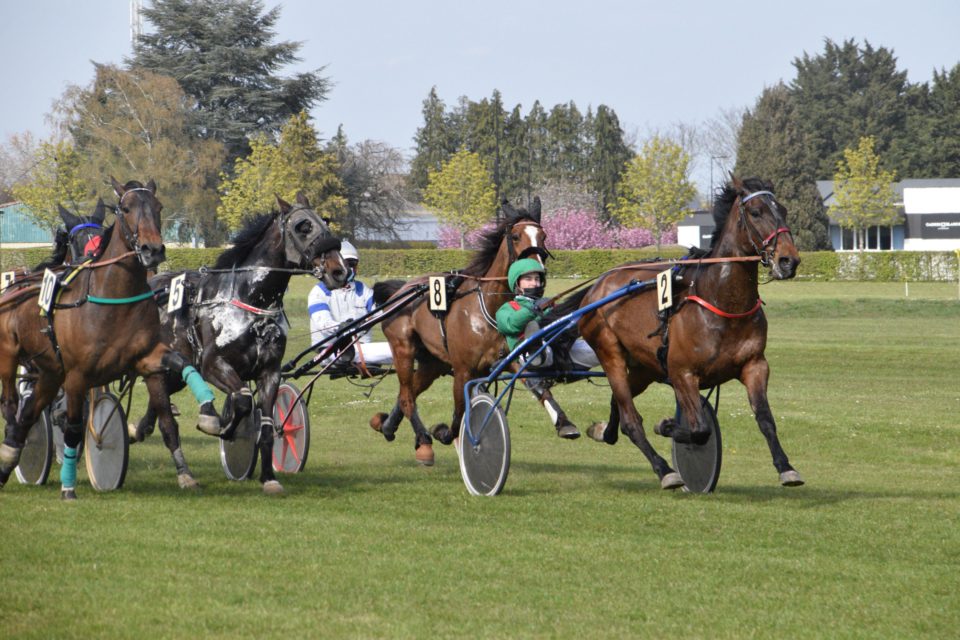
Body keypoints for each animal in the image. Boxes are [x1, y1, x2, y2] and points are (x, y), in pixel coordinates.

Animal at [0, 178, 223, 498]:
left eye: (158, 207)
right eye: (126, 208)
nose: (153, 249)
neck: (114, 300)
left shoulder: (147, 358)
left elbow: (179, 384)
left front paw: (204, 424)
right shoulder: (78, 375)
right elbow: (73, 428)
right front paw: (69, 486)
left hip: (50, 372)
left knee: (27, 416)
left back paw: (9, 461)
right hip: (12, 358)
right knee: (12, 407)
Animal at [133, 191, 346, 496]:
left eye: (325, 221)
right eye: (303, 227)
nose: (340, 271)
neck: (250, 300)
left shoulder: (269, 372)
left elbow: (267, 426)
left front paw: (268, 477)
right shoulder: (213, 365)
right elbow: (243, 400)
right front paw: (221, 426)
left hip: (176, 372)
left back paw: (141, 428)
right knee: (166, 421)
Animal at [368, 198, 576, 462]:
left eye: (544, 235)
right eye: (516, 236)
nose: (536, 277)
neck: (489, 308)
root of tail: (402, 290)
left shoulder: (508, 357)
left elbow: (537, 386)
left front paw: (564, 422)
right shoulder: (463, 369)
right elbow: (459, 413)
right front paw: (445, 433)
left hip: (433, 362)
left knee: (410, 390)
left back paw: (386, 425)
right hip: (403, 348)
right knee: (406, 396)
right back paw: (423, 440)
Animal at [576, 176, 804, 490]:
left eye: (782, 209)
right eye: (756, 211)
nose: (788, 261)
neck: (721, 301)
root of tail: (598, 285)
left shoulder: (755, 364)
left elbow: (765, 418)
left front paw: (786, 467)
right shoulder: (681, 373)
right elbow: (699, 429)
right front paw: (667, 425)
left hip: (644, 367)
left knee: (618, 405)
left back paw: (603, 431)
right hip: (610, 353)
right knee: (631, 420)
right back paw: (665, 470)